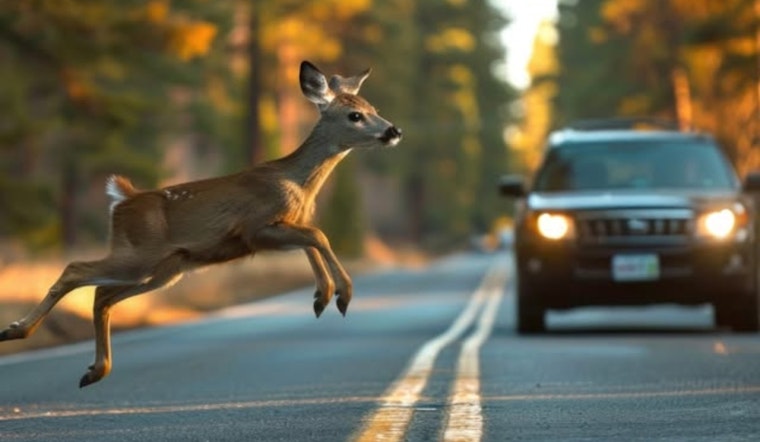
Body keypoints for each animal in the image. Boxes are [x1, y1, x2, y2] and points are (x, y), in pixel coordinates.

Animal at [0, 61, 402, 388]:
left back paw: (94, 370)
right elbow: (317, 235)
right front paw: (341, 294)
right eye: (355, 116)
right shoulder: (254, 227)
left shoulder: (276, 229)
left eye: (375, 109)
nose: (393, 131)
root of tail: (122, 200)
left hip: (166, 269)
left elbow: (312, 239)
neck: (296, 184)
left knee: (102, 295)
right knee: (76, 269)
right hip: (139, 256)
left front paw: (323, 296)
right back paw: (17, 330)